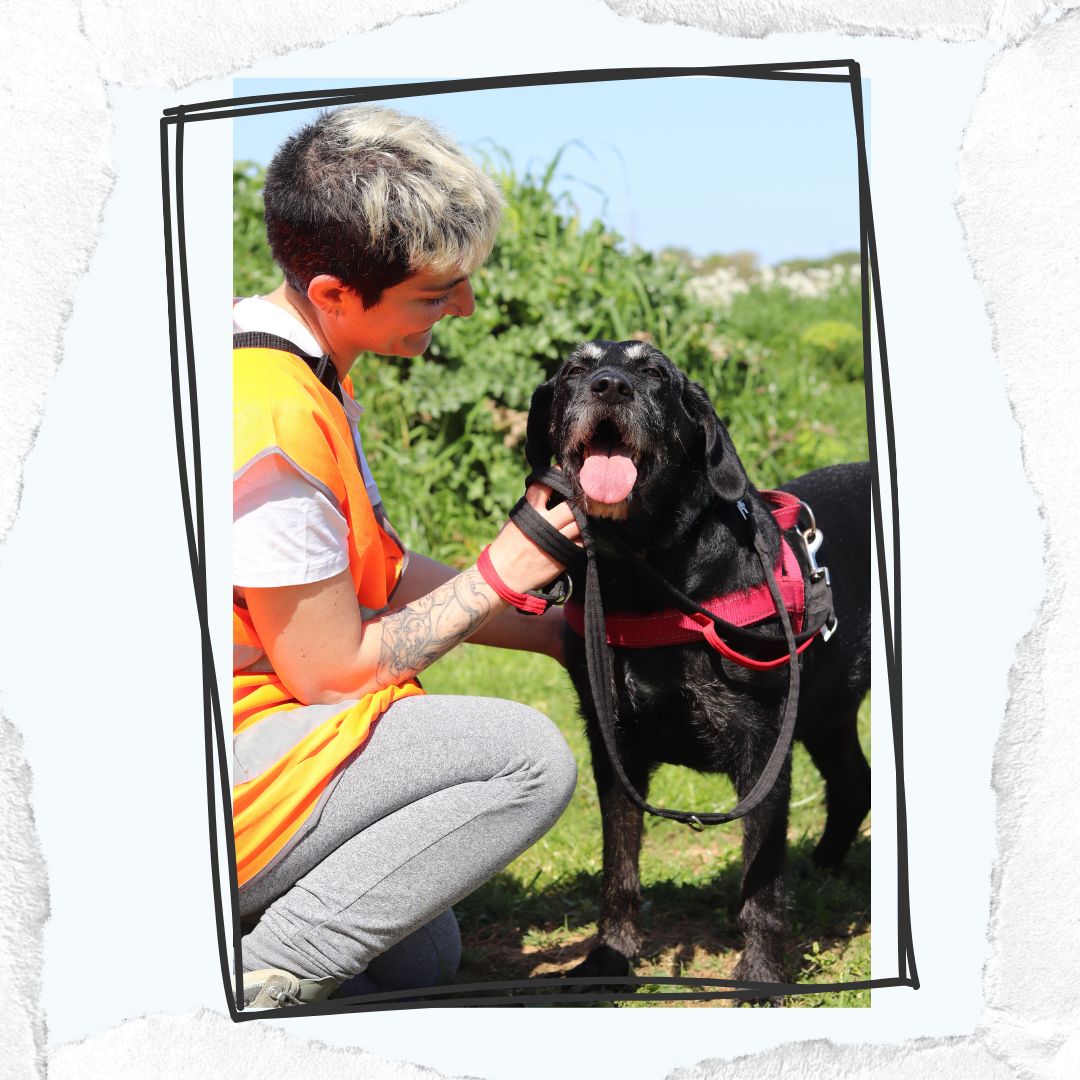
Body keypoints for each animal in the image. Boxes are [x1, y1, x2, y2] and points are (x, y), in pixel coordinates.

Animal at [525, 339, 871, 991]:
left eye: (654, 373)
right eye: (577, 368)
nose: (610, 386)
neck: (647, 577)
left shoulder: (762, 748)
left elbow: (761, 885)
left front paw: (760, 975)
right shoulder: (615, 749)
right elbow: (619, 871)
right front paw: (610, 958)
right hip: (827, 711)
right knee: (853, 783)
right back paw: (821, 869)